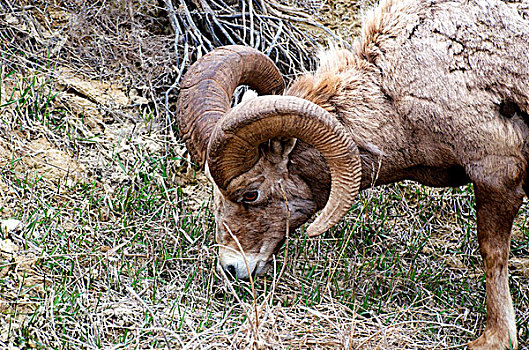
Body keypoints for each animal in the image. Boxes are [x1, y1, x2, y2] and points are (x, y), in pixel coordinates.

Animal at [174, 0, 528, 348]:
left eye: (251, 193)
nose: (231, 267)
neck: (396, 95)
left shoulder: (496, 172)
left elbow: (492, 253)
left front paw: (496, 338)